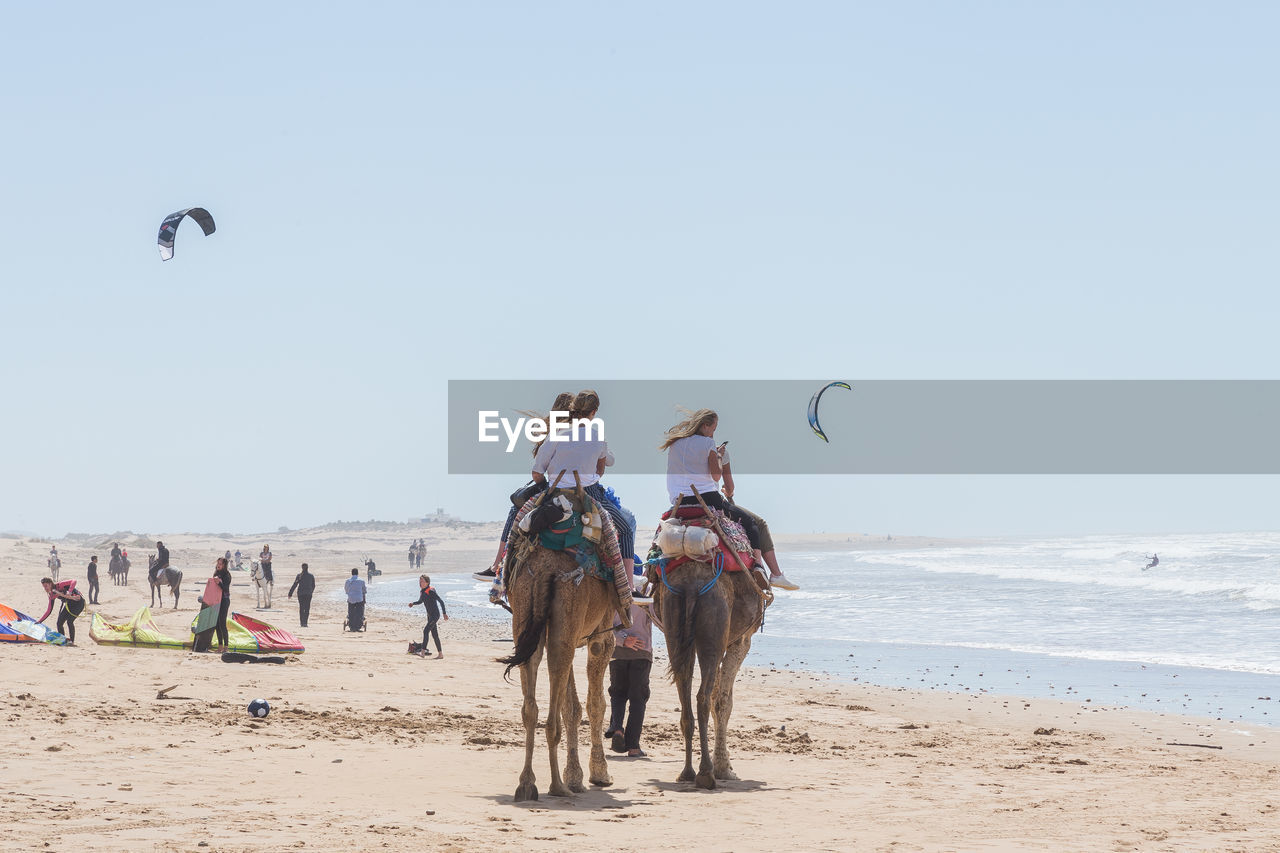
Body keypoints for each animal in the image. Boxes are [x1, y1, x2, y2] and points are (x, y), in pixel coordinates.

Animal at [496, 545, 616, 799]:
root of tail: (545, 570)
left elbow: (571, 707)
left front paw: (575, 775)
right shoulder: (602, 636)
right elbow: (595, 704)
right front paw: (598, 773)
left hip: (525, 610)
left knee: (530, 703)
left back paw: (527, 783)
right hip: (568, 609)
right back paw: (558, 786)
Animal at [655, 555, 762, 788]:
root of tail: (691, 586)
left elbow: (718, 698)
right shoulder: (742, 641)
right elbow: (723, 702)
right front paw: (724, 768)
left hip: (673, 622)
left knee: (685, 698)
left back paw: (687, 772)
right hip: (713, 624)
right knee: (702, 697)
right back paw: (706, 773)